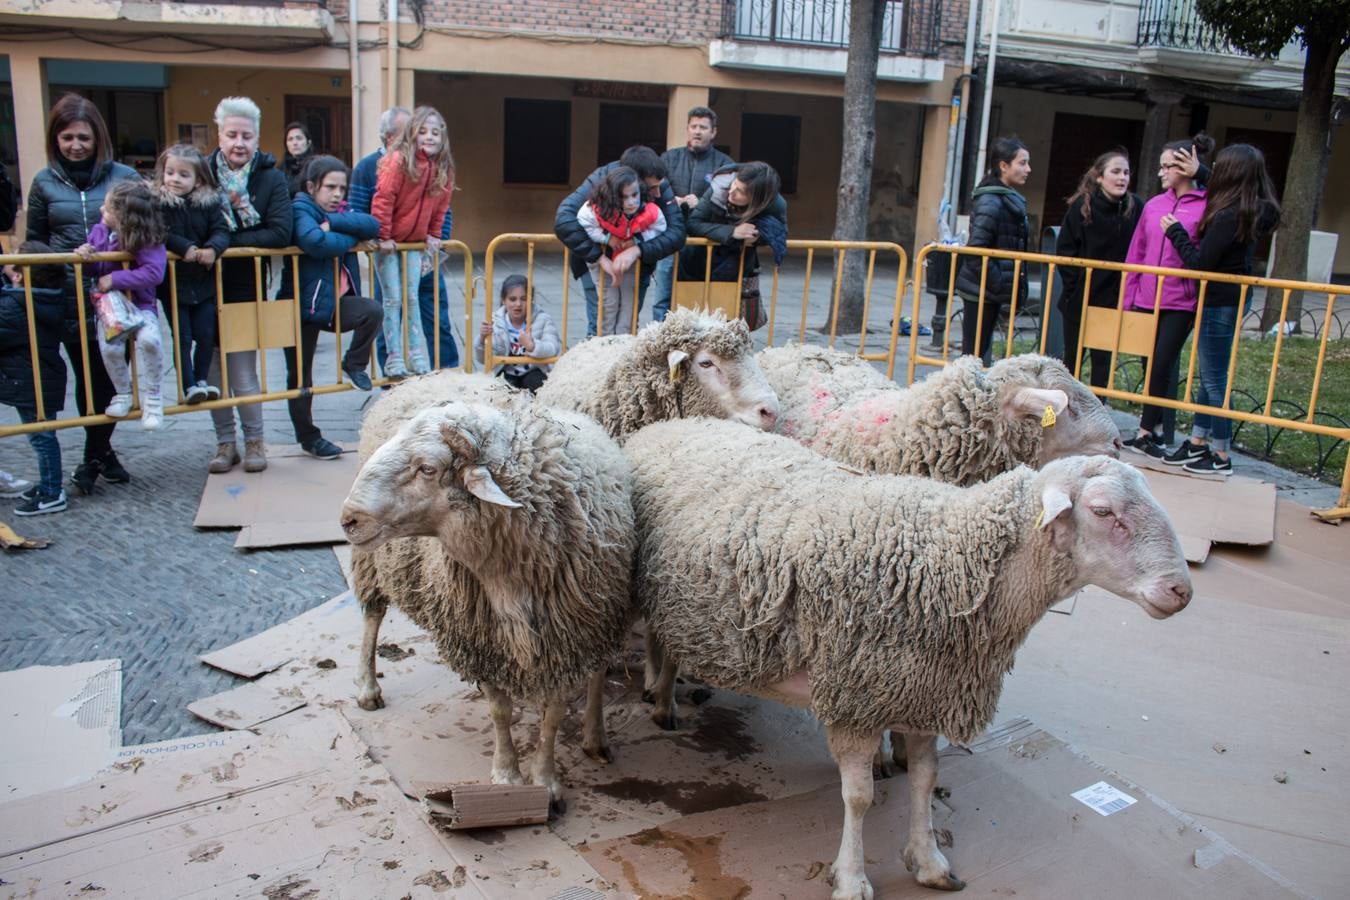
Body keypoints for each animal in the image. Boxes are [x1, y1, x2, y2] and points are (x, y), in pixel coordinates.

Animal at [337, 396, 631, 804]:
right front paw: (507, 775)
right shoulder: (483, 642)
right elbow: (499, 711)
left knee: (599, 672)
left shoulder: (569, 637)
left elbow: (554, 714)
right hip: (373, 563)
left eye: (427, 468)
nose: (349, 519)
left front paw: (546, 781)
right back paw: (367, 687)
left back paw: (595, 734)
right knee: (373, 616)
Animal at [626, 418, 1188, 895]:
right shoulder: (855, 696)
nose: (1180, 591)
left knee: (667, 639)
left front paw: (929, 861)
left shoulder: (924, 691)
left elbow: (924, 779)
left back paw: (665, 694)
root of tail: (669, 425)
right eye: (1103, 512)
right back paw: (659, 698)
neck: (953, 559)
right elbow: (858, 798)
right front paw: (852, 878)